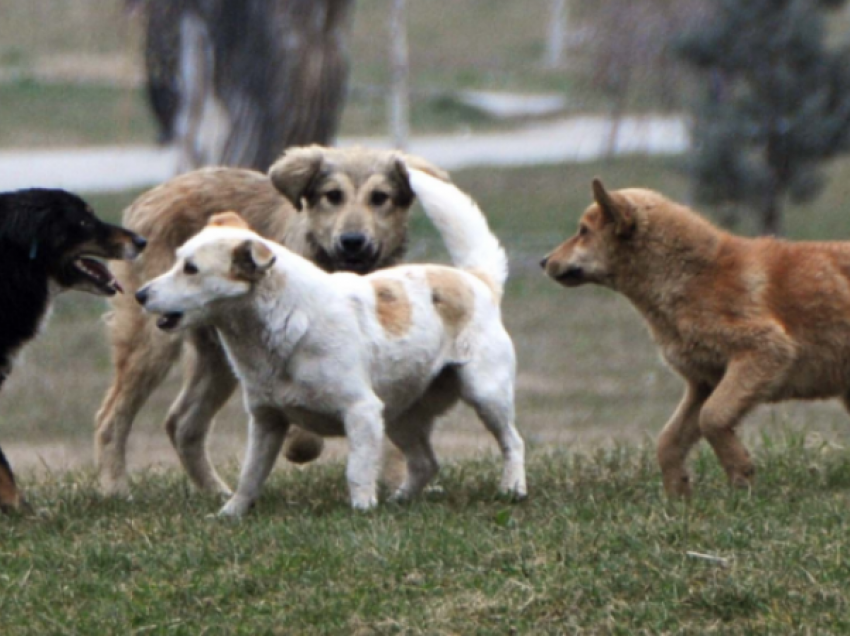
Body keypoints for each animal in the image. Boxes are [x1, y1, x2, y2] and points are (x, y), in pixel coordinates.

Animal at [96, 145, 448, 496]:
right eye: (333, 195)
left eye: (380, 197)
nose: (352, 241)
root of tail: (151, 195)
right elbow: (305, 422)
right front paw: (301, 445)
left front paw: (396, 481)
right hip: (152, 342)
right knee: (112, 417)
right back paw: (115, 488)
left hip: (219, 357)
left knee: (182, 424)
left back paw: (216, 492)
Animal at [540, 178, 848, 496]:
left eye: (583, 231)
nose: (542, 261)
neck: (691, 274)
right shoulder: (704, 383)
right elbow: (668, 441)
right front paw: (679, 495)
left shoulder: (765, 349)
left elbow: (712, 418)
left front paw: (741, 475)